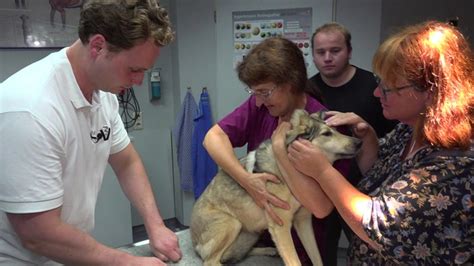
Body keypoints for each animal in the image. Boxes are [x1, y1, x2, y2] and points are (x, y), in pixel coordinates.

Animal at [191, 109, 362, 264]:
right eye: (326, 134)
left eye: (337, 130)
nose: (359, 142)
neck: (293, 174)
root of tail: (194, 242)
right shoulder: (282, 226)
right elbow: (294, 261)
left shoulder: (303, 222)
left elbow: (317, 259)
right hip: (232, 224)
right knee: (212, 261)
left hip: (251, 233)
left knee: (237, 254)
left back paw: (268, 250)